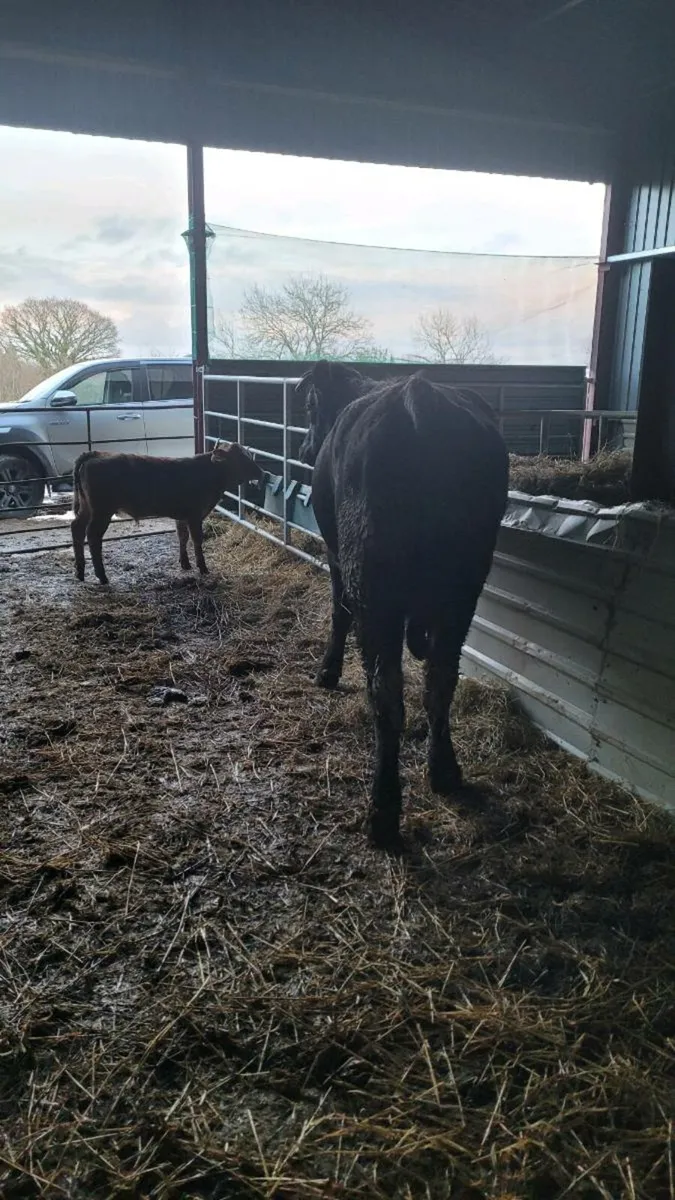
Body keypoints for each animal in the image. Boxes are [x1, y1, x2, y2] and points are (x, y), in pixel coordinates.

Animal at [71, 441, 264, 584]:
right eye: (240, 458)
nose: (261, 472)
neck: (208, 473)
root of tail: (95, 453)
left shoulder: (182, 516)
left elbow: (182, 537)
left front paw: (185, 563)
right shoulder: (195, 515)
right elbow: (196, 540)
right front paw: (202, 567)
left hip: (87, 508)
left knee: (77, 528)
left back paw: (80, 571)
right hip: (101, 511)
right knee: (92, 535)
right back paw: (101, 576)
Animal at [297, 361, 509, 852]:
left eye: (311, 406)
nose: (303, 446)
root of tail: (418, 402)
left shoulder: (336, 556)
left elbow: (338, 612)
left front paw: (327, 671)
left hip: (374, 588)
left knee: (385, 693)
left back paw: (383, 811)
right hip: (463, 590)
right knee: (440, 681)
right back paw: (445, 771)